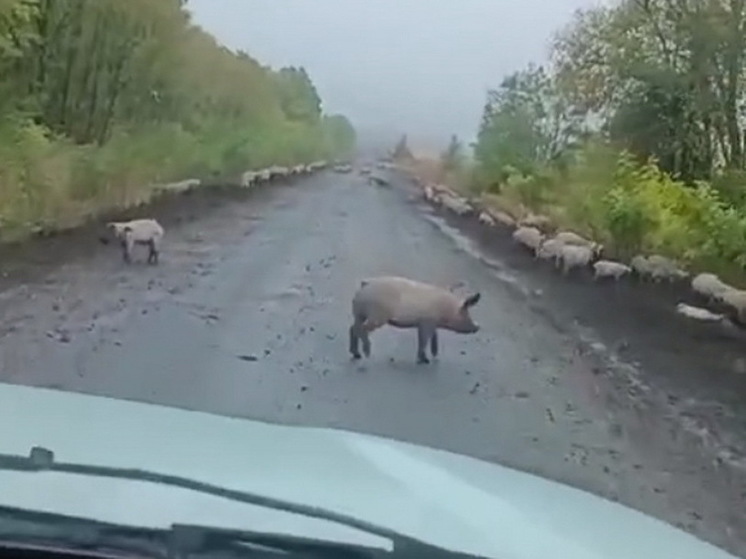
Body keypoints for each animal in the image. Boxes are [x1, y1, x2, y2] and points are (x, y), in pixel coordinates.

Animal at [346, 274, 480, 364]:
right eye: (466, 313)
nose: (478, 327)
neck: (447, 309)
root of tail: (366, 284)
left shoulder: (431, 323)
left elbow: (434, 337)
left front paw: (434, 355)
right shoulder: (426, 322)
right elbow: (424, 340)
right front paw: (425, 360)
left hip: (360, 314)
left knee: (353, 327)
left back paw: (357, 354)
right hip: (377, 315)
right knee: (361, 329)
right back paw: (367, 354)